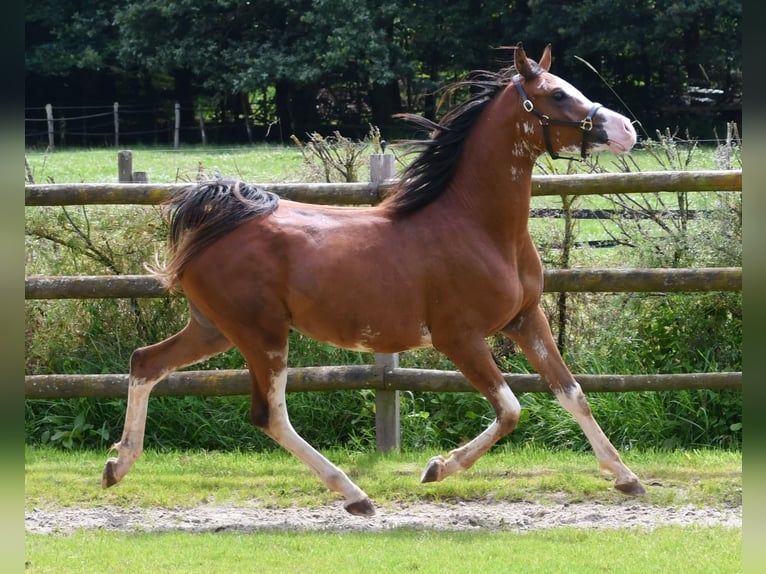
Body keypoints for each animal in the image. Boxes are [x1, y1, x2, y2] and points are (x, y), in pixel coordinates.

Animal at [103, 42, 648, 516]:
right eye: (556, 95)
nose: (627, 129)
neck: (478, 226)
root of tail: (217, 222)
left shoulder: (525, 319)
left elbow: (571, 392)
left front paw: (626, 478)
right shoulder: (459, 337)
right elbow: (511, 408)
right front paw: (437, 467)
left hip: (215, 329)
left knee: (146, 362)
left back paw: (117, 465)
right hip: (262, 335)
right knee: (269, 414)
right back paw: (355, 495)